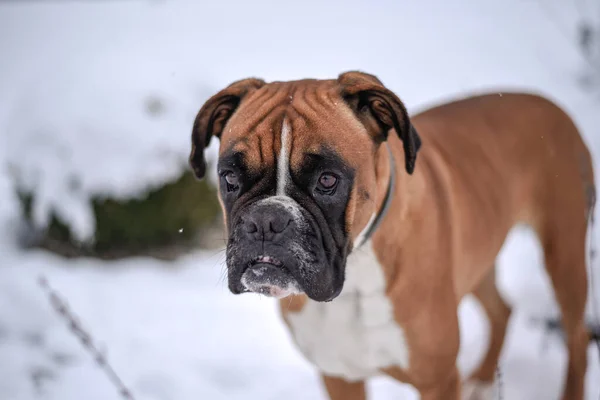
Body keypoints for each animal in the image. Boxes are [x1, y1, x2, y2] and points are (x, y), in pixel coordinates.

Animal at [189, 72, 596, 400]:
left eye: (327, 180)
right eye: (229, 178)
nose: (266, 220)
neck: (357, 273)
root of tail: (550, 104)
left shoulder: (438, 381)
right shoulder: (340, 376)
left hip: (564, 253)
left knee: (576, 337)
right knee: (503, 310)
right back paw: (481, 380)